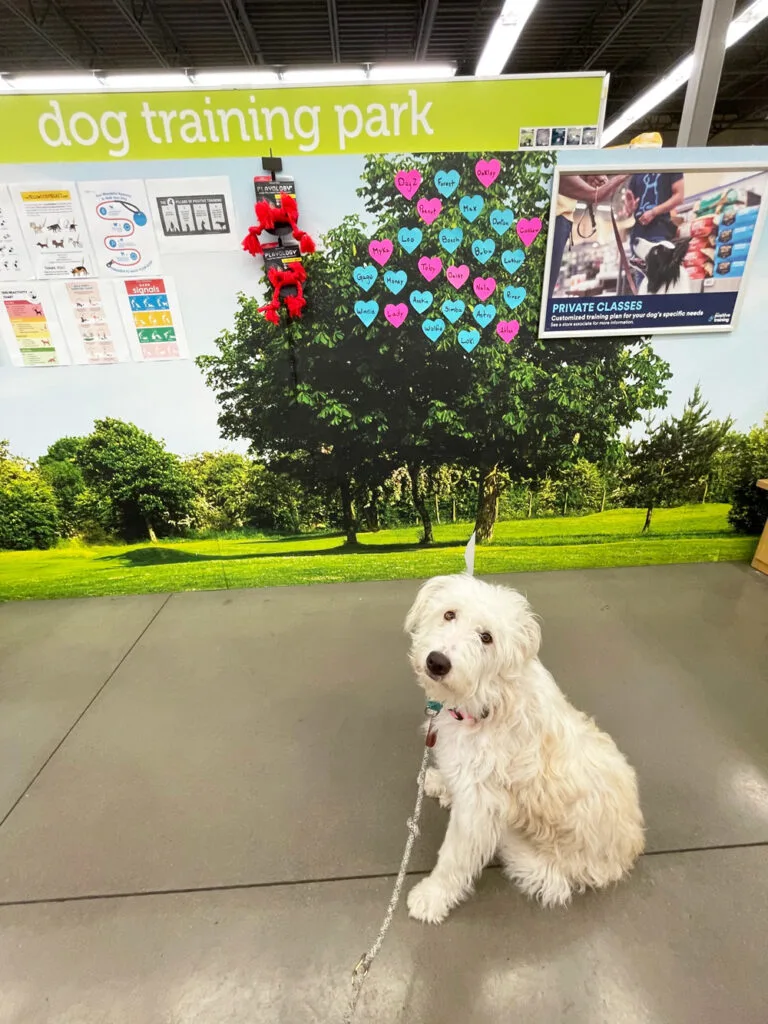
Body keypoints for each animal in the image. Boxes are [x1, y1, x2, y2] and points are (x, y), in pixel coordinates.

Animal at [405, 573, 647, 925]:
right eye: (449, 614)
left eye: (486, 637)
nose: (438, 662)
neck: (489, 698)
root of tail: (628, 853)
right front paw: (440, 782)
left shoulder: (480, 807)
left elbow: (455, 857)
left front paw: (432, 897)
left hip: (548, 867)